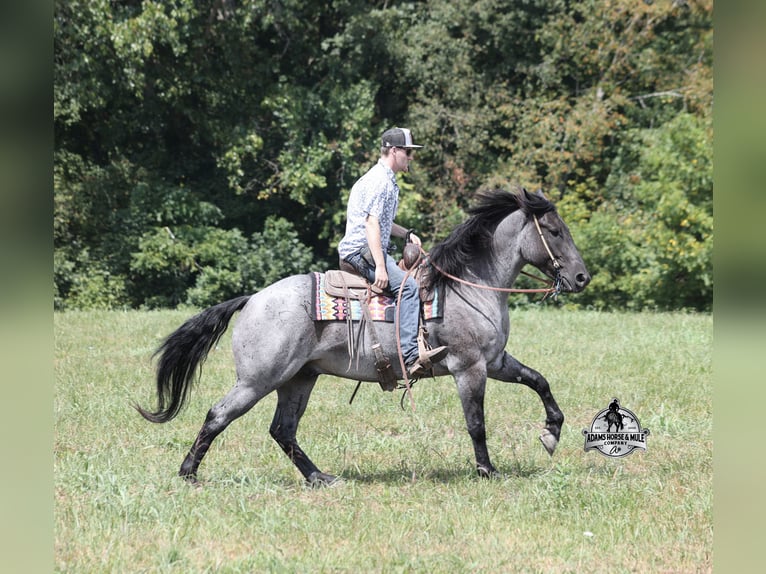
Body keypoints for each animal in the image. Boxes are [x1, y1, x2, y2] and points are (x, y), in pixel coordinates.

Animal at [137, 188, 591, 485]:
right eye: (553, 230)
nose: (582, 277)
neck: (469, 285)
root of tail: (252, 299)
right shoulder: (469, 368)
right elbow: (476, 422)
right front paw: (487, 470)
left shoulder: (494, 362)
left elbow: (539, 381)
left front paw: (551, 433)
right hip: (257, 380)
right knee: (219, 415)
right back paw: (189, 473)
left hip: (299, 379)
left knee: (283, 430)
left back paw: (319, 477)